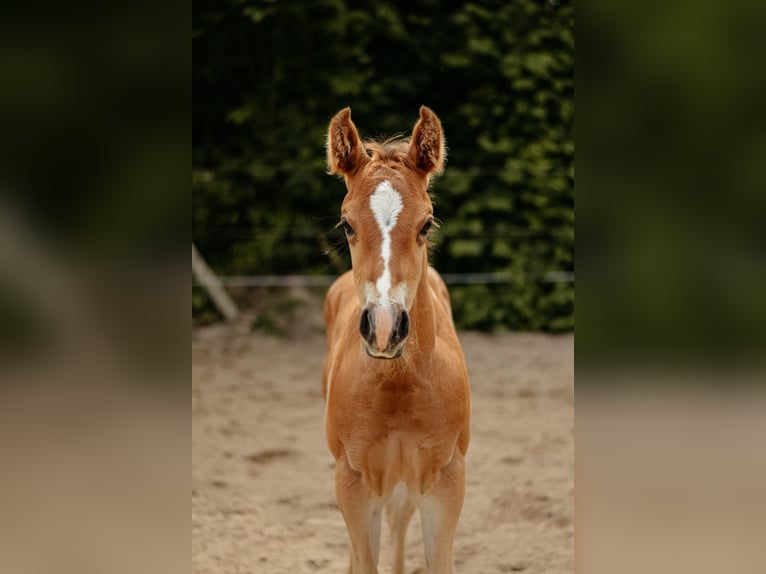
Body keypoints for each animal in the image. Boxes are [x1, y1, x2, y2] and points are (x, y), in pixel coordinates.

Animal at [321, 106, 471, 574]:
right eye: (346, 224)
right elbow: (362, 560)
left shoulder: (445, 480)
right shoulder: (353, 480)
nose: (384, 328)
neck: (399, 384)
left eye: (426, 224)